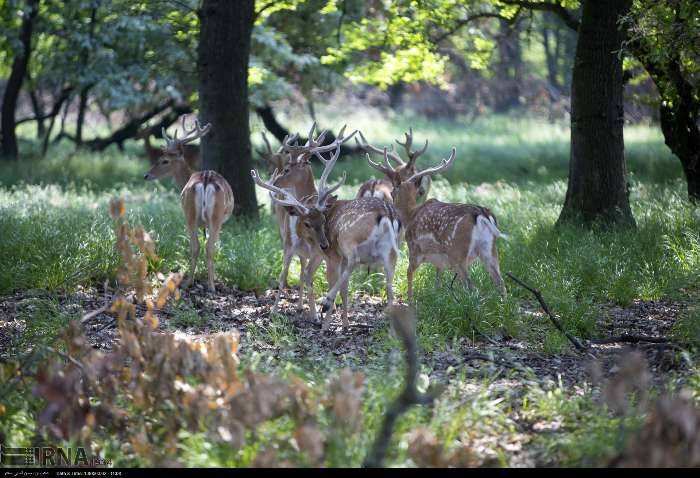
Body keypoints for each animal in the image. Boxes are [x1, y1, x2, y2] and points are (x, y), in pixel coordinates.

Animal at [143, 117, 235, 294]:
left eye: (164, 160)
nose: (146, 175)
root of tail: (205, 180)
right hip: (211, 216)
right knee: (205, 247)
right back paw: (205, 285)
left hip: (191, 214)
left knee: (199, 246)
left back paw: (194, 282)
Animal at [366, 148, 508, 300]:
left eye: (392, 192)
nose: (390, 205)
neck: (410, 215)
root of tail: (481, 214)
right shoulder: (439, 260)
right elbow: (437, 278)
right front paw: (436, 297)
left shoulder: (414, 247)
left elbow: (409, 273)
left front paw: (410, 300)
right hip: (489, 249)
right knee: (500, 282)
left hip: (457, 251)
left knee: (471, 285)